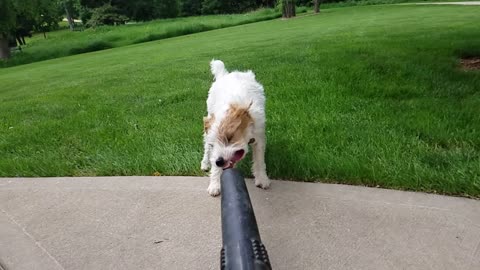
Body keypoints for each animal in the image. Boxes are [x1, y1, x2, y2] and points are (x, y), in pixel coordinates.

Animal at [201, 59, 272, 196]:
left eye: (229, 137)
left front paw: (262, 178)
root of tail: (225, 74)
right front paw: (215, 184)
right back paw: (205, 163)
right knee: (206, 147)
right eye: (213, 144)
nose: (219, 162)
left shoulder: (259, 137)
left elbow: (259, 160)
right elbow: (213, 157)